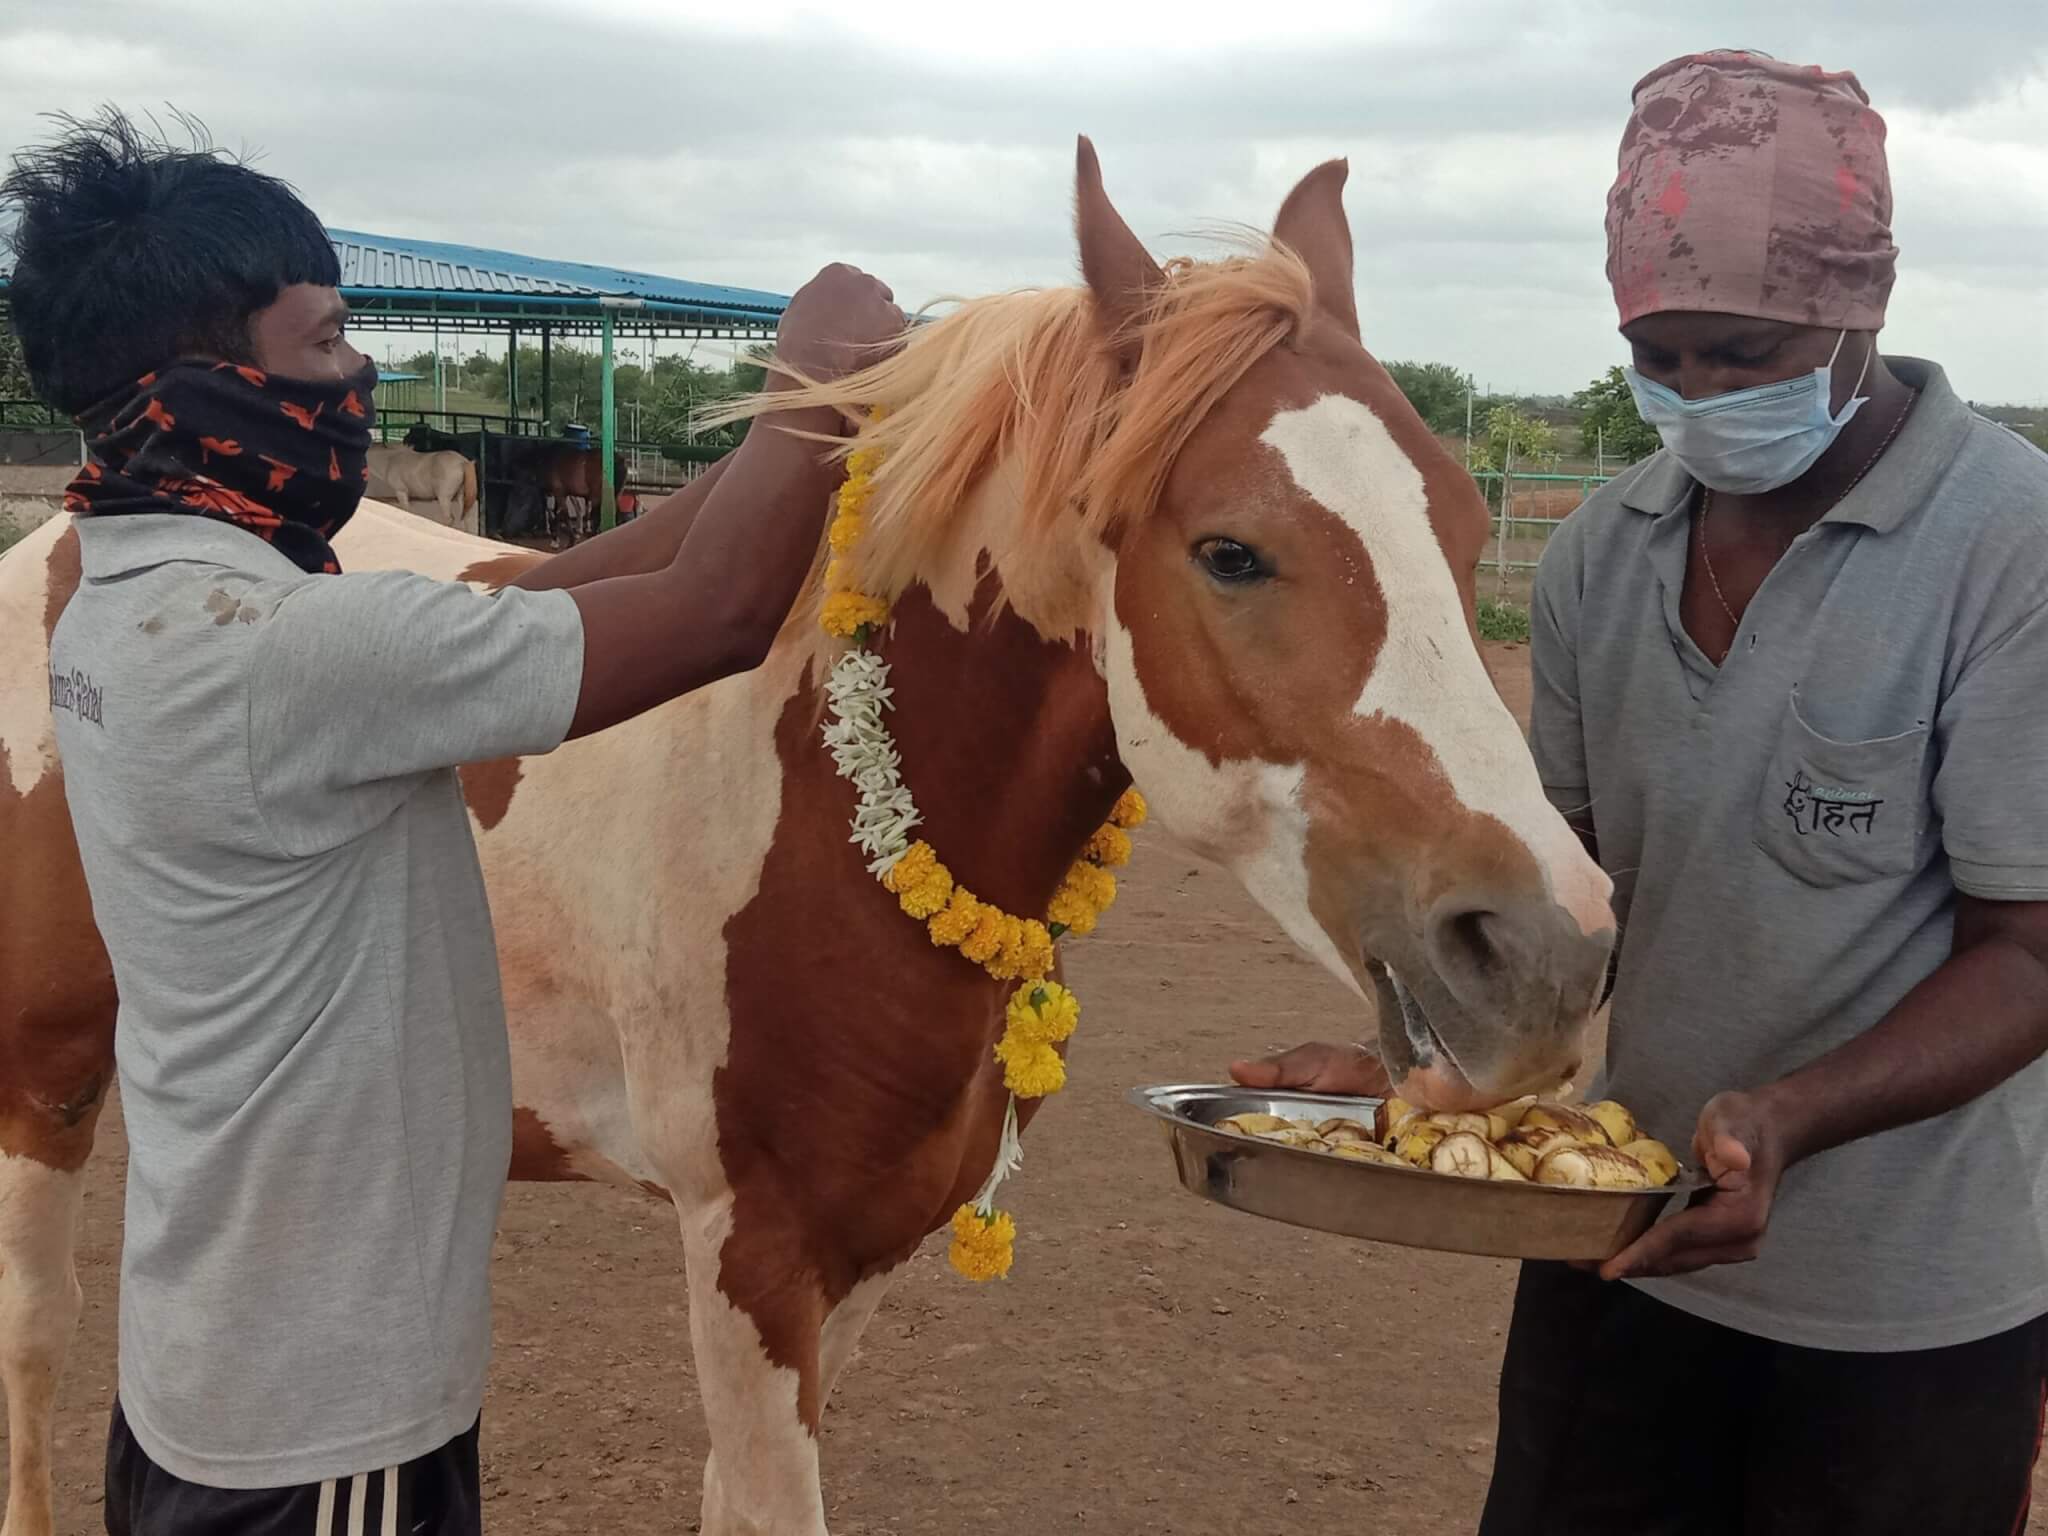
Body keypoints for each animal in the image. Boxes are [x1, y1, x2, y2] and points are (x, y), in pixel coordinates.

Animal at [0, 147, 1613, 1536]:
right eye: (1231, 550)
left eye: (1459, 523)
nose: (1548, 954)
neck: (836, 824)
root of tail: (70, 540)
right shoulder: (749, 1264)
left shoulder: (862, 1262)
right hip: (47, 1079)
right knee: (39, 1336)